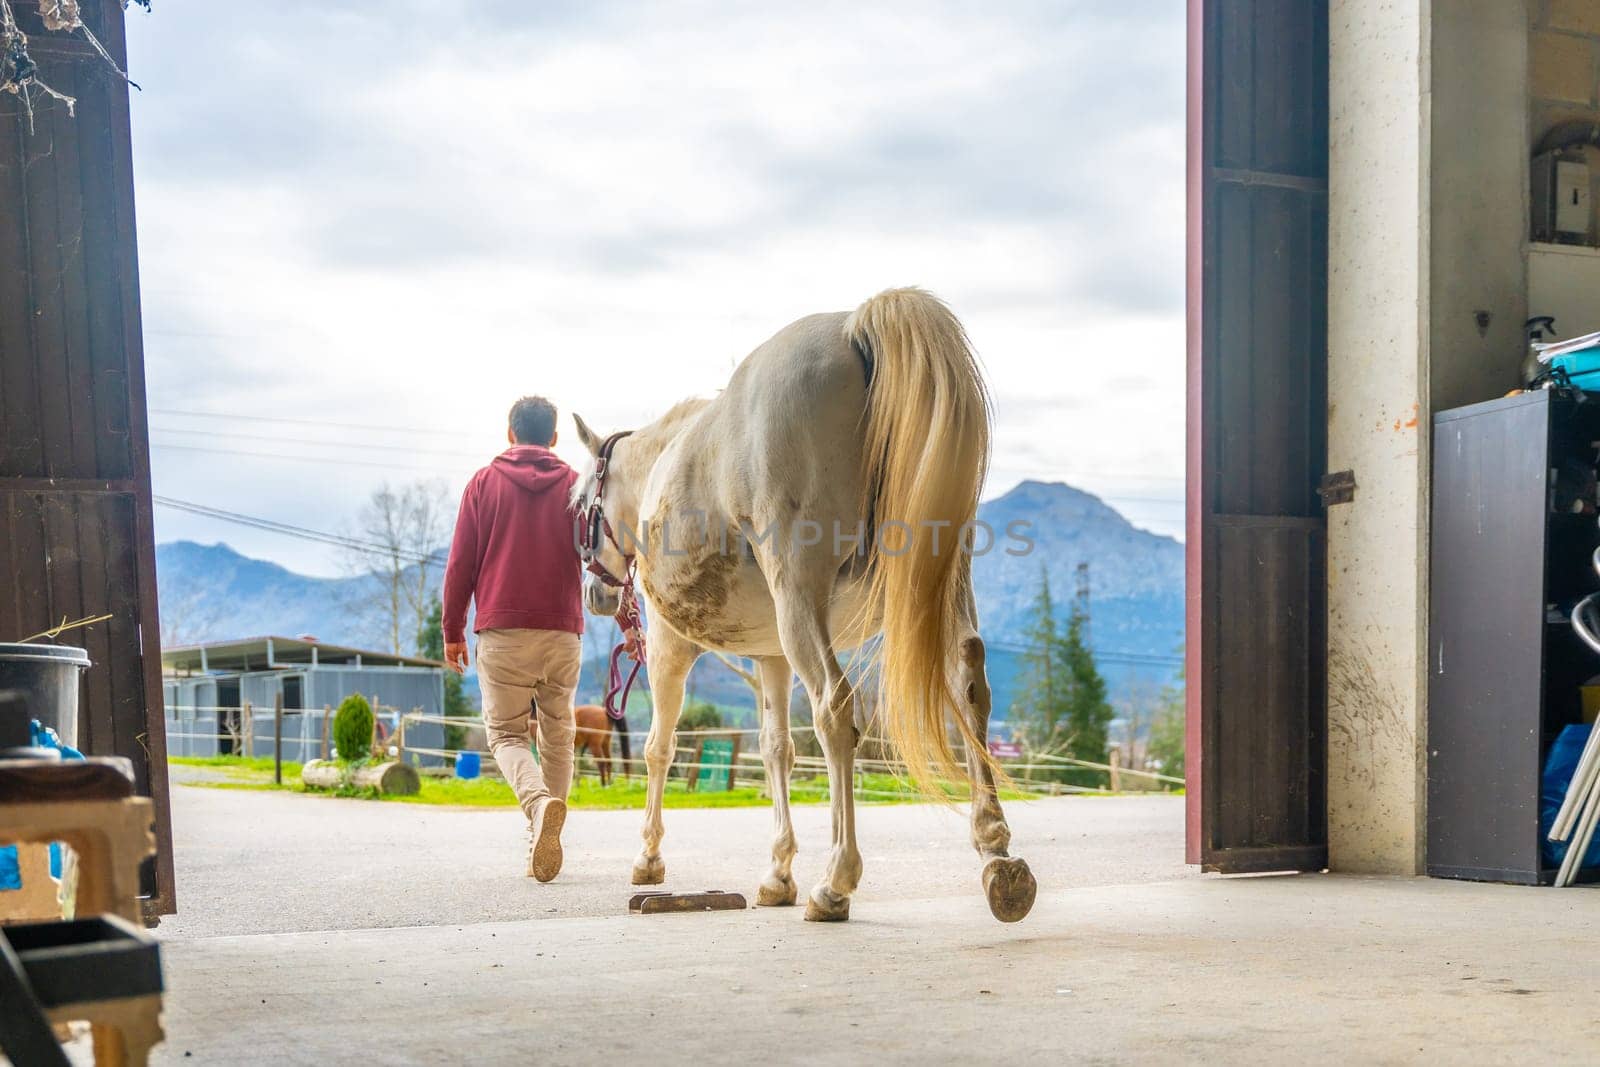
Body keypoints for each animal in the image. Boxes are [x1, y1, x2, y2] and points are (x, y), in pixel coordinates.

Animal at [576, 287, 1036, 921]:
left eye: (579, 508)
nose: (594, 594)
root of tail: (854, 326)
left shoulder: (673, 647)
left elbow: (658, 747)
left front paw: (649, 859)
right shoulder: (772, 656)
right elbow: (777, 751)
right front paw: (777, 874)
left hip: (800, 597)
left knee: (836, 710)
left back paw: (836, 881)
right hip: (944, 584)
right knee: (968, 685)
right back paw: (998, 855)